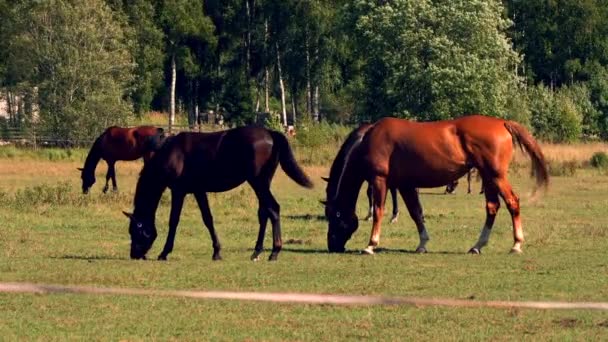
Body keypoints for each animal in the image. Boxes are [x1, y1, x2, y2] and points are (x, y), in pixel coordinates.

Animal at [123, 126, 314, 262]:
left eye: (135, 230)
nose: (134, 254)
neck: (171, 153)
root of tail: (270, 133)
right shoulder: (199, 191)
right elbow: (208, 219)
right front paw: (217, 251)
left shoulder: (179, 191)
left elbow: (174, 221)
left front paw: (164, 252)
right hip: (263, 183)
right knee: (264, 213)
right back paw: (256, 251)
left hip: (258, 182)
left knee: (273, 209)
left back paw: (274, 251)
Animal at [326, 114, 548, 254]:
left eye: (335, 216)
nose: (332, 245)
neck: (369, 140)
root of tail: (502, 122)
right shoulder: (405, 185)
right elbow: (416, 213)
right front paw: (422, 244)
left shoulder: (379, 180)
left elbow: (379, 210)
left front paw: (371, 245)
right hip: (488, 177)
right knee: (492, 207)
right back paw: (477, 246)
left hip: (496, 176)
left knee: (512, 202)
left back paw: (516, 245)